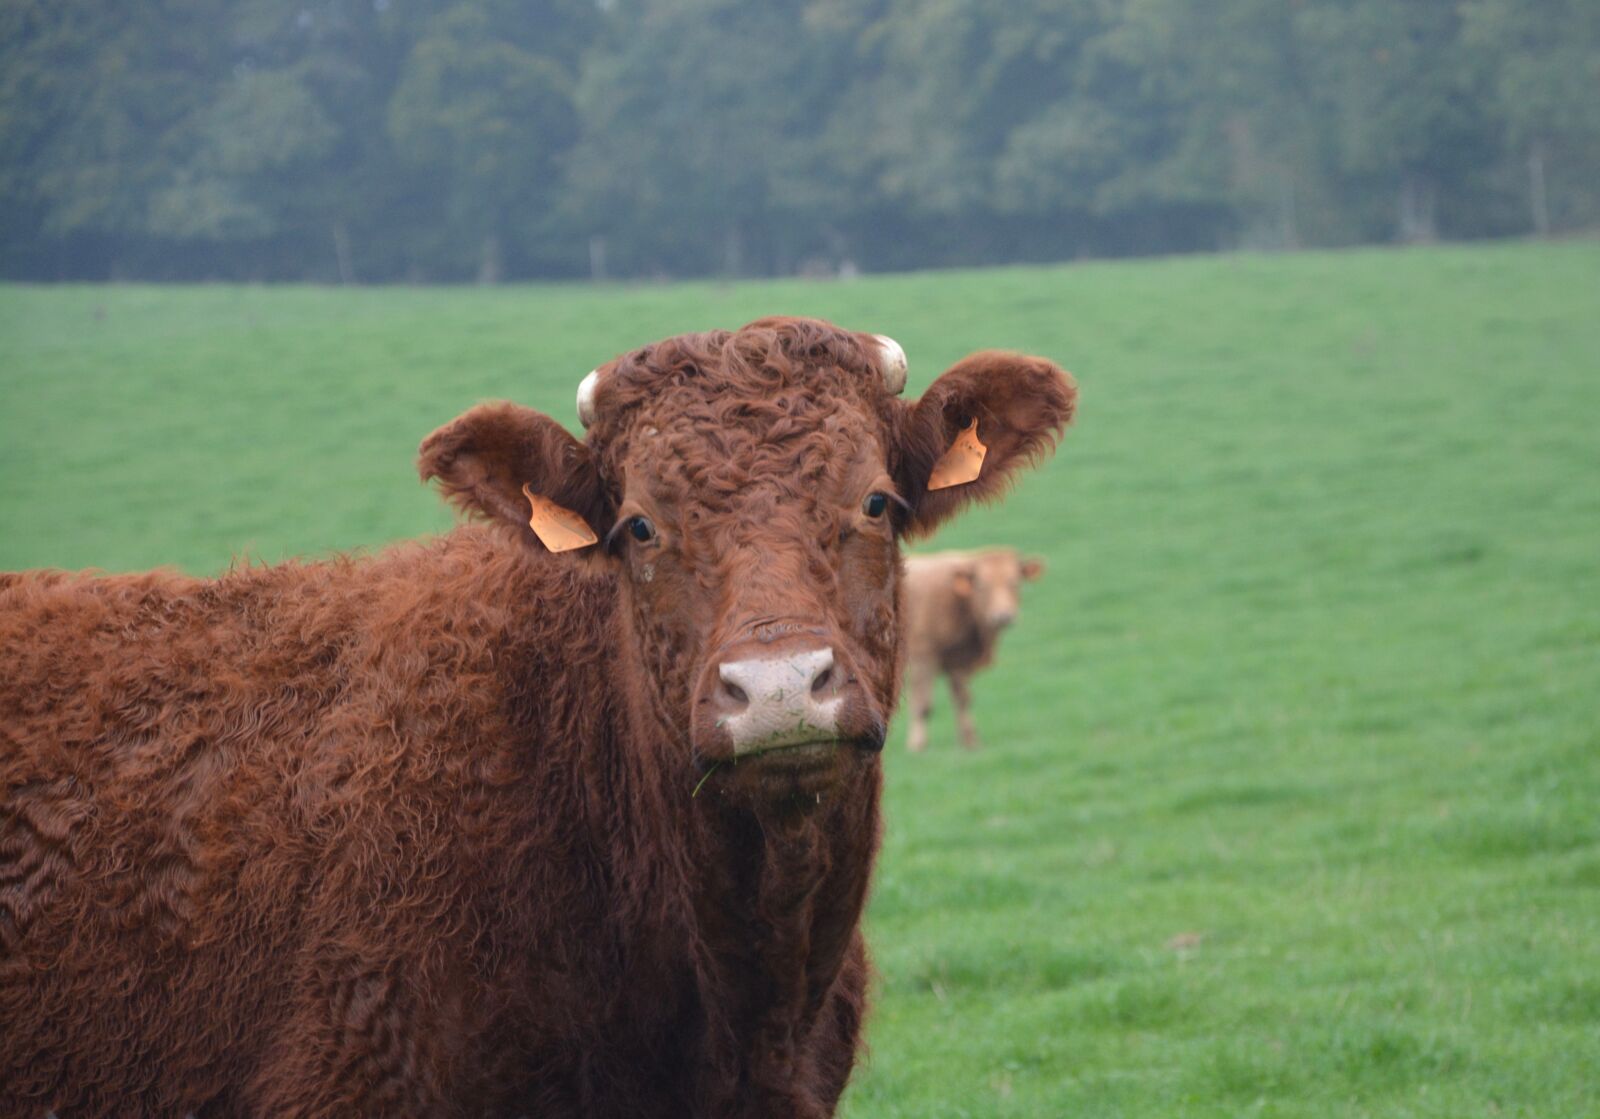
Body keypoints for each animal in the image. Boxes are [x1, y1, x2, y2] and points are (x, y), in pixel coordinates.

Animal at [901, 548, 1045, 753]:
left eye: (1014, 583)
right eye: (982, 586)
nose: (1003, 616)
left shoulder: (959, 662)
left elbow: (963, 700)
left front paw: (970, 742)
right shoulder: (923, 658)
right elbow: (923, 705)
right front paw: (917, 745)